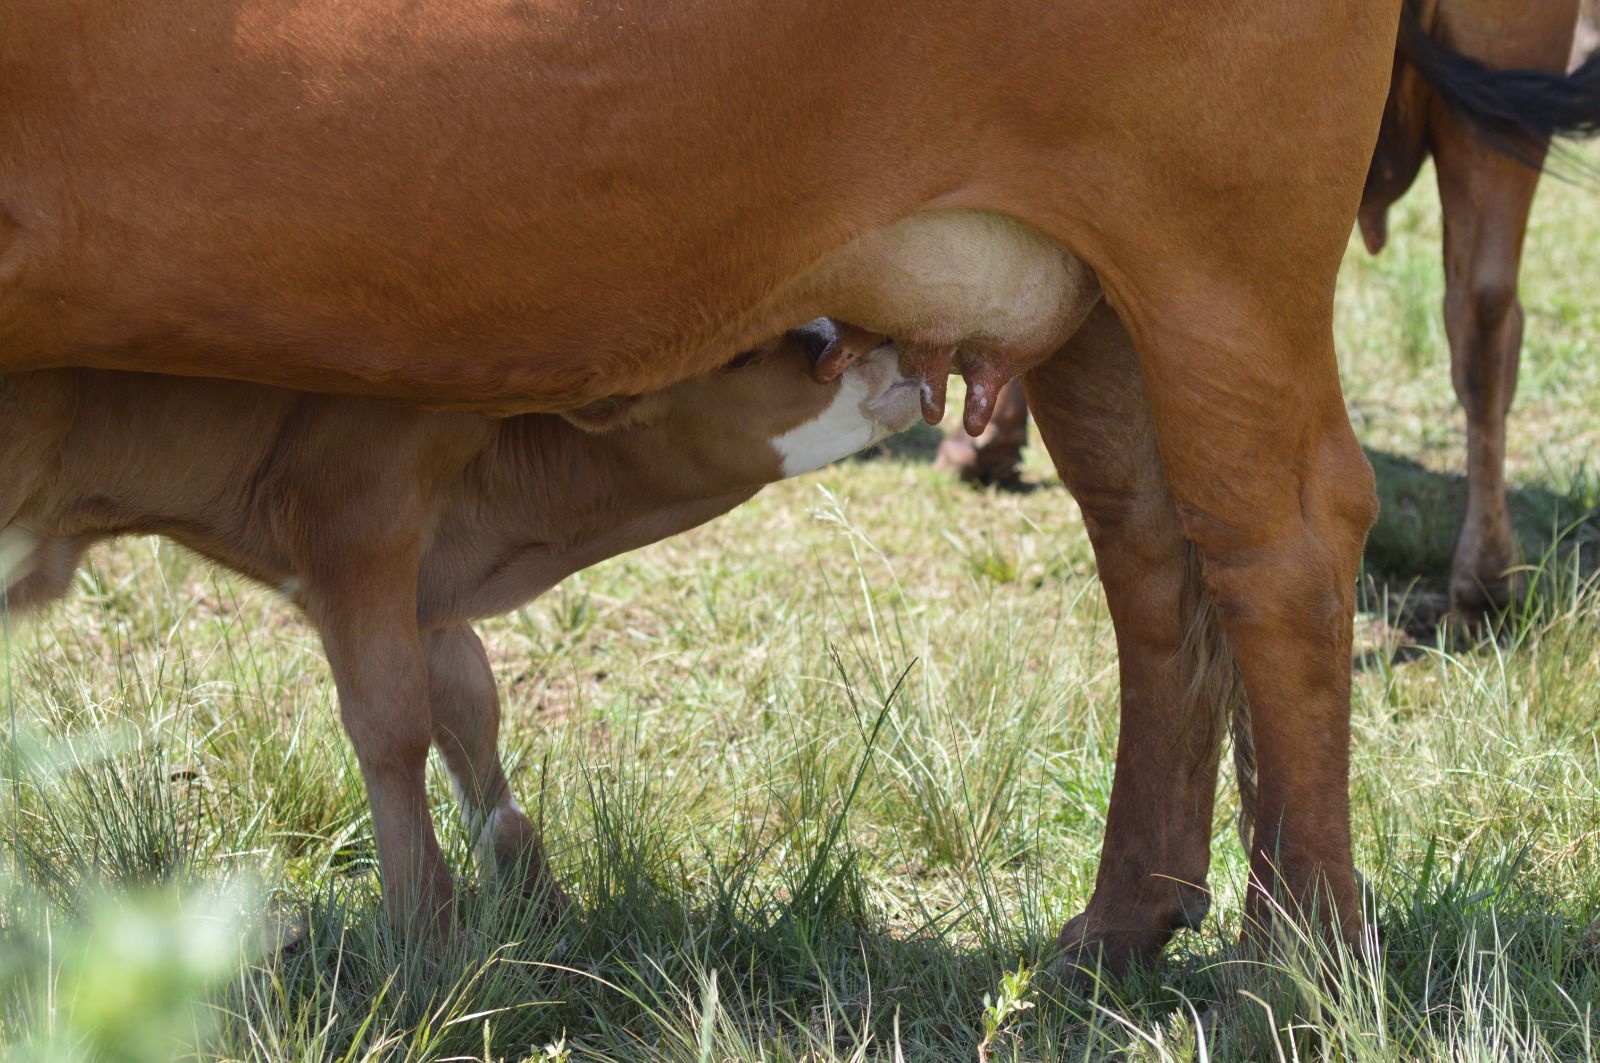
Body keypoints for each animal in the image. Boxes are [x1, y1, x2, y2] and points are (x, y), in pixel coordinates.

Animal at [0, 328, 925, 931]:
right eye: (740, 357)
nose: (890, 353)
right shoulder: (353, 520)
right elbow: (392, 722)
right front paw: (427, 927)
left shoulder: (429, 592)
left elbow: (470, 712)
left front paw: (537, 903)